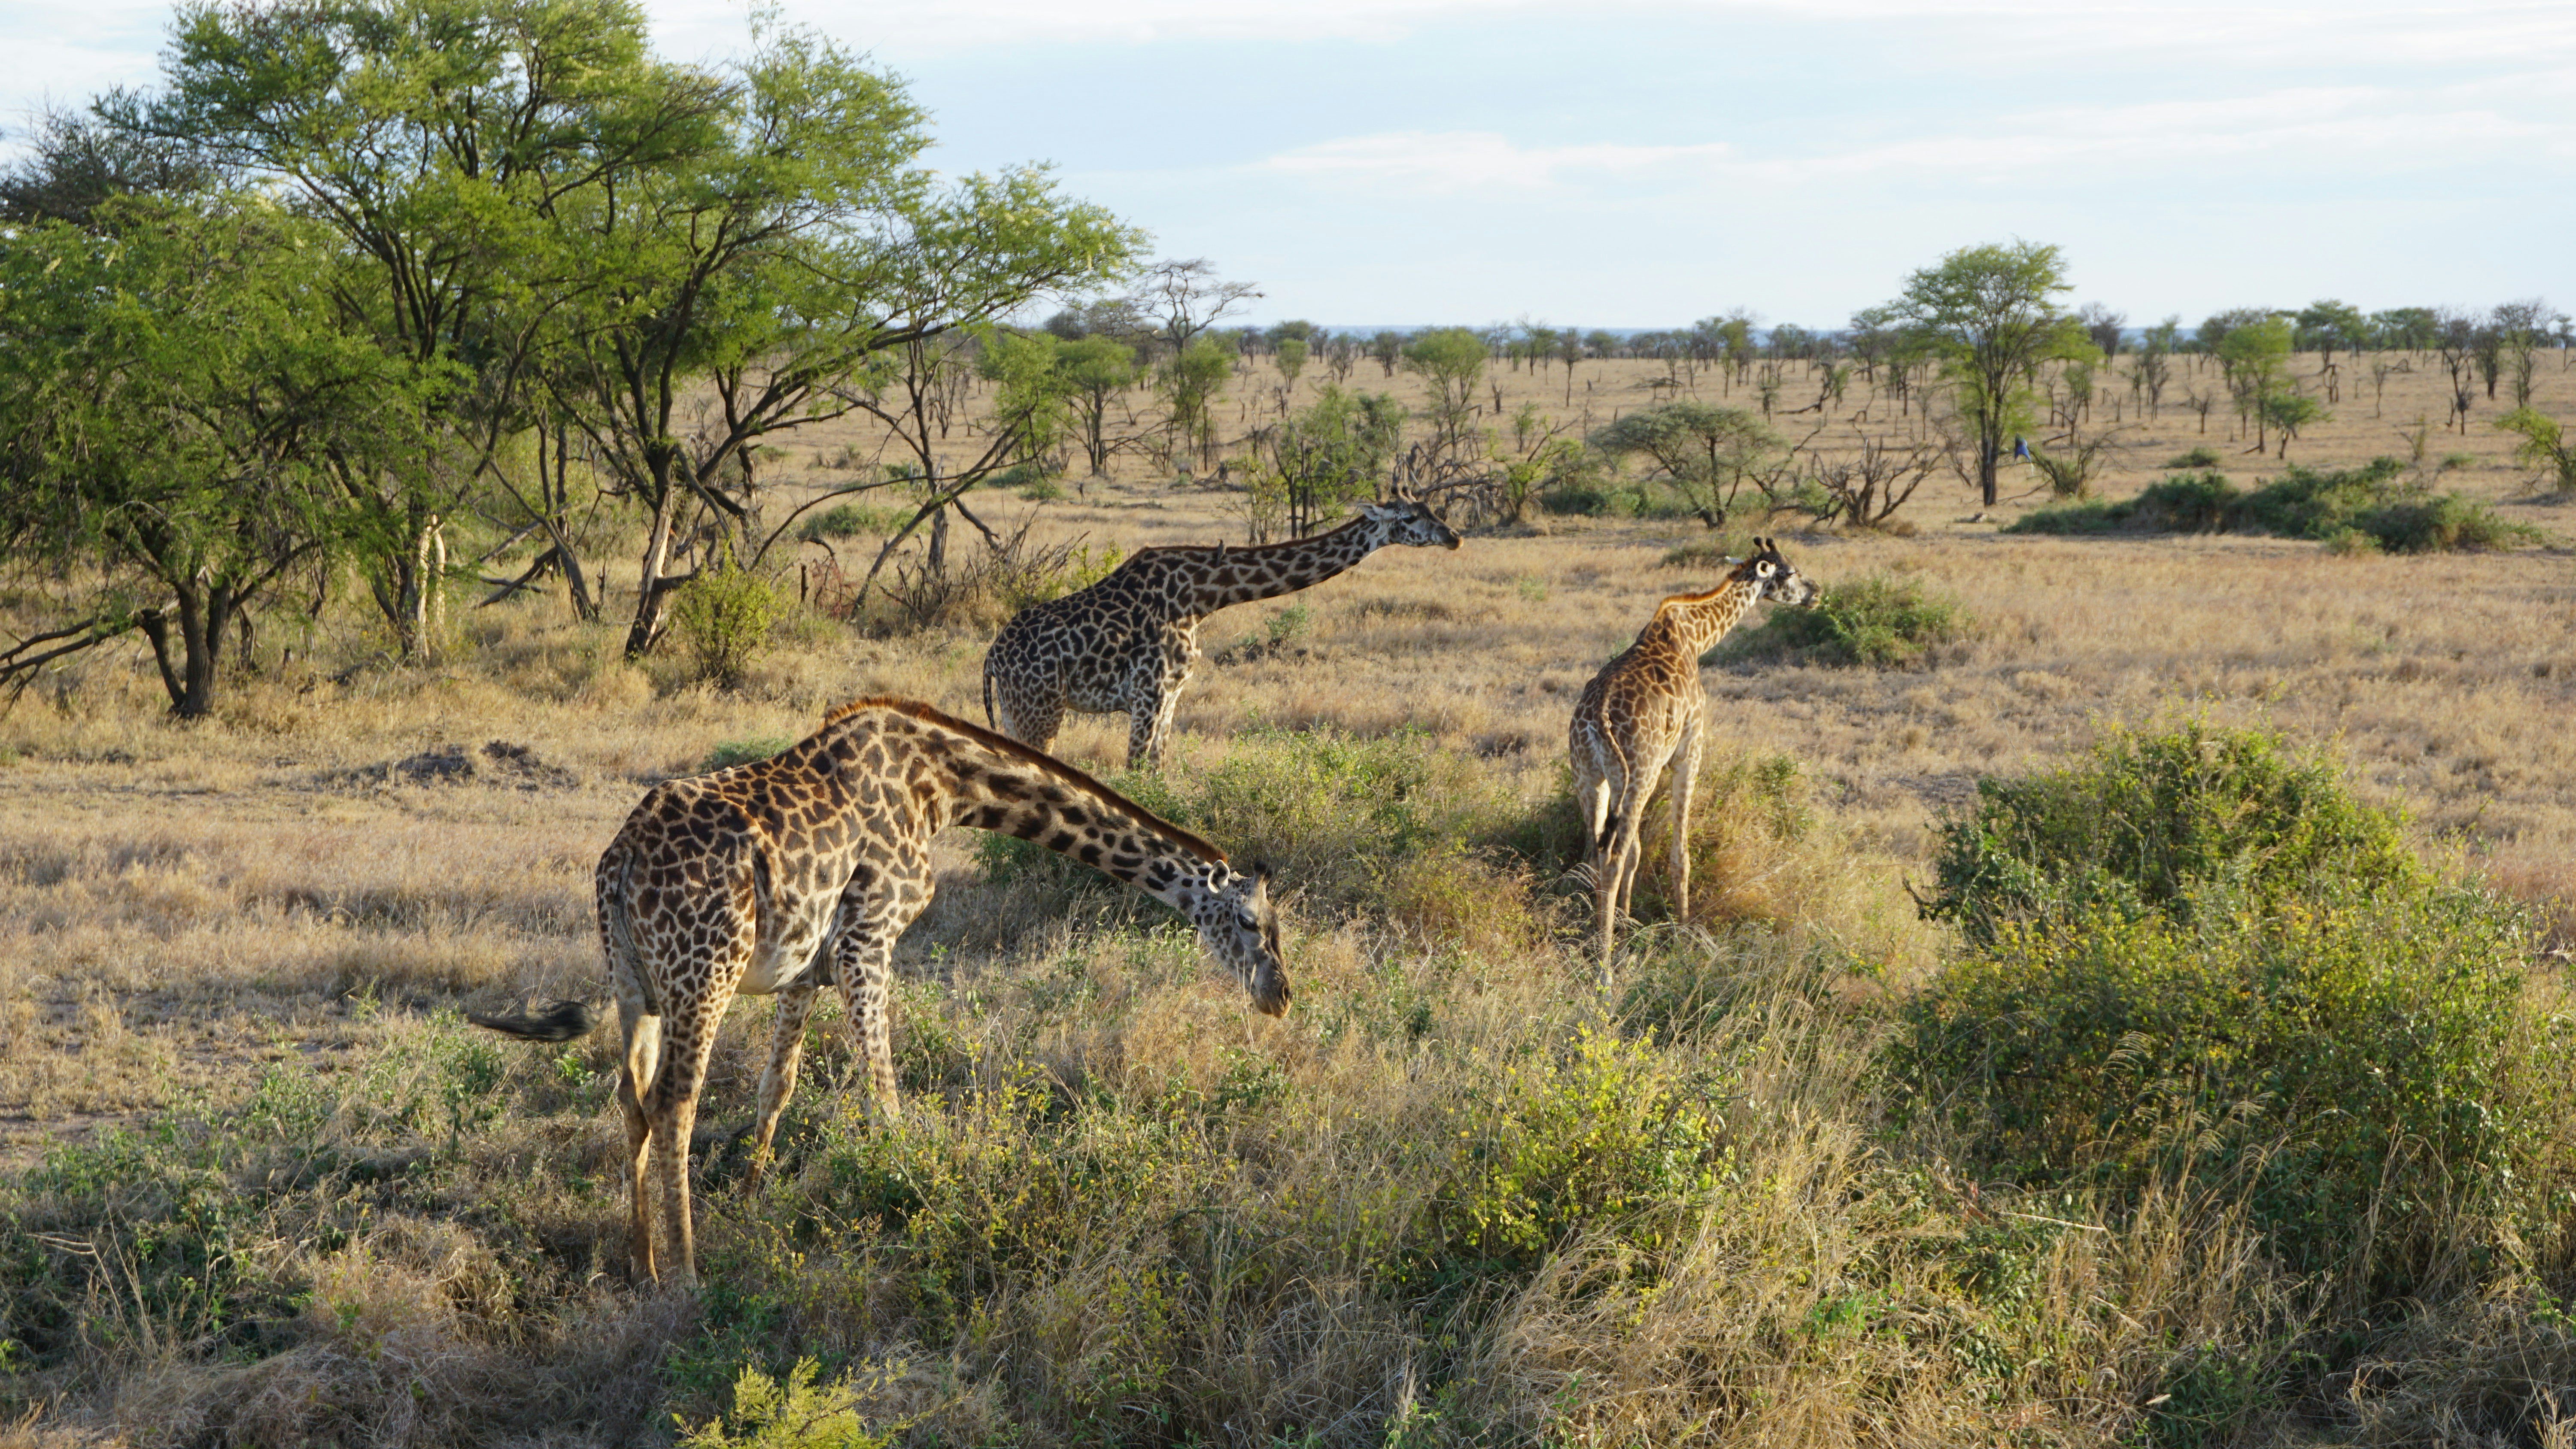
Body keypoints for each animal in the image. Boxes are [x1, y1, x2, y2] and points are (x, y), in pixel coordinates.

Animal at [466, 695, 1288, 1287]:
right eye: (1253, 922)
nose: (1279, 998)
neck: (944, 787)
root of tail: (620, 862)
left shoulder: (808, 968)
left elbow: (778, 1086)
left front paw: (753, 1200)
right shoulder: (871, 939)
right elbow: (884, 1097)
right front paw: (911, 1198)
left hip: (634, 982)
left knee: (630, 1098)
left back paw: (640, 1264)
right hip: (705, 976)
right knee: (674, 1102)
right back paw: (687, 1275)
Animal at [979, 491, 1463, 772]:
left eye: (1433, 510)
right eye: (1410, 517)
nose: (1455, 537)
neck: (1202, 597)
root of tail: (992, 657)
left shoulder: (1171, 695)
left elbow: (1156, 772)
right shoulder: (1147, 694)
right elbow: (1134, 773)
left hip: (1016, 711)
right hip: (1041, 710)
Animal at [1556, 540, 1824, 988]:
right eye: (1789, 572)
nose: (1816, 593)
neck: (1697, 638)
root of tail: (1597, 721)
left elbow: (1640, 851)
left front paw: (1628, 925)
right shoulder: (1690, 747)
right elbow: (1679, 853)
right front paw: (1683, 933)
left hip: (1590, 778)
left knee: (1597, 853)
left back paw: (1597, 937)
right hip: (1640, 773)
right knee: (1612, 857)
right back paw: (1604, 968)